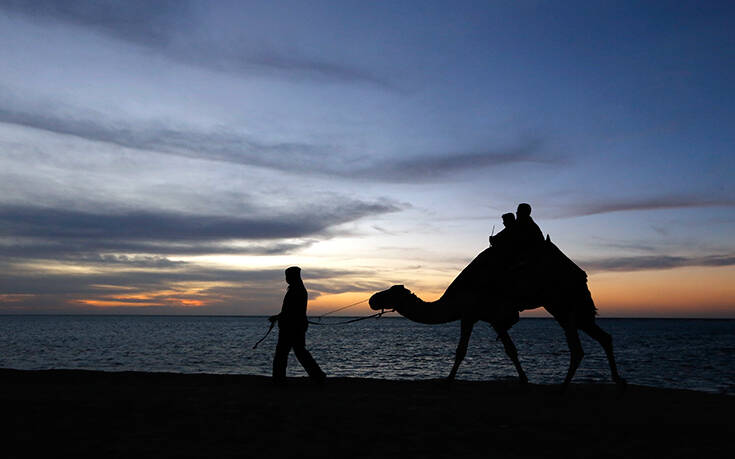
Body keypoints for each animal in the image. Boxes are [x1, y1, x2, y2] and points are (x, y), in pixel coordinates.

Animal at [370, 237, 624, 392]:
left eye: (391, 292)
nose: (373, 299)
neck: (457, 297)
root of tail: (579, 274)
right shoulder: (485, 318)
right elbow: (505, 350)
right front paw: (524, 380)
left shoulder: (479, 315)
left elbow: (468, 351)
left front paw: (448, 381)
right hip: (571, 307)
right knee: (603, 337)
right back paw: (616, 380)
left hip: (561, 302)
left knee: (578, 347)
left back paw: (562, 388)